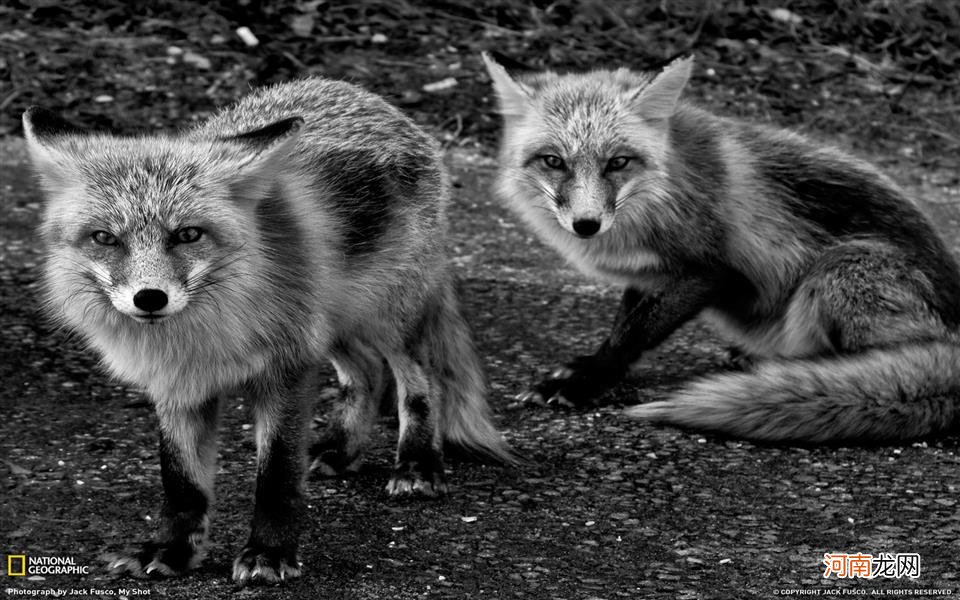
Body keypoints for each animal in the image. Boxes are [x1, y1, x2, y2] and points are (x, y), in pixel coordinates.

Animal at [22, 77, 512, 584]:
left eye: (188, 235)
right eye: (105, 238)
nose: (150, 298)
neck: (204, 336)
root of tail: (363, 95)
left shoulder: (289, 366)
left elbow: (276, 476)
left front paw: (269, 554)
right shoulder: (177, 384)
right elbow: (181, 482)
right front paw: (171, 551)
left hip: (386, 316)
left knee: (420, 380)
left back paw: (418, 464)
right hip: (332, 321)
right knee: (367, 374)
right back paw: (340, 451)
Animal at [484, 51, 960, 442]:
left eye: (618, 162)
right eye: (553, 161)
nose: (586, 225)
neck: (661, 194)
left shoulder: (710, 270)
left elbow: (635, 334)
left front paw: (587, 381)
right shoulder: (650, 273)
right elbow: (624, 325)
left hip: (841, 270)